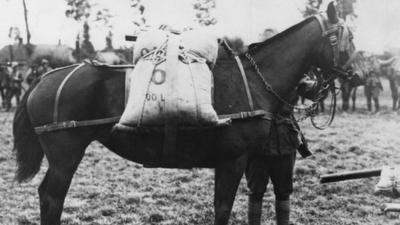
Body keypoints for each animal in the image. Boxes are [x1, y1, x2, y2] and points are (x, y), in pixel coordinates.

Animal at [13, 3, 354, 225]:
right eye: (347, 37)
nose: (355, 74)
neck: (255, 80)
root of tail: (43, 78)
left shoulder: (243, 161)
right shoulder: (232, 160)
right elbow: (222, 209)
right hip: (65, 155)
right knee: (51, 197)